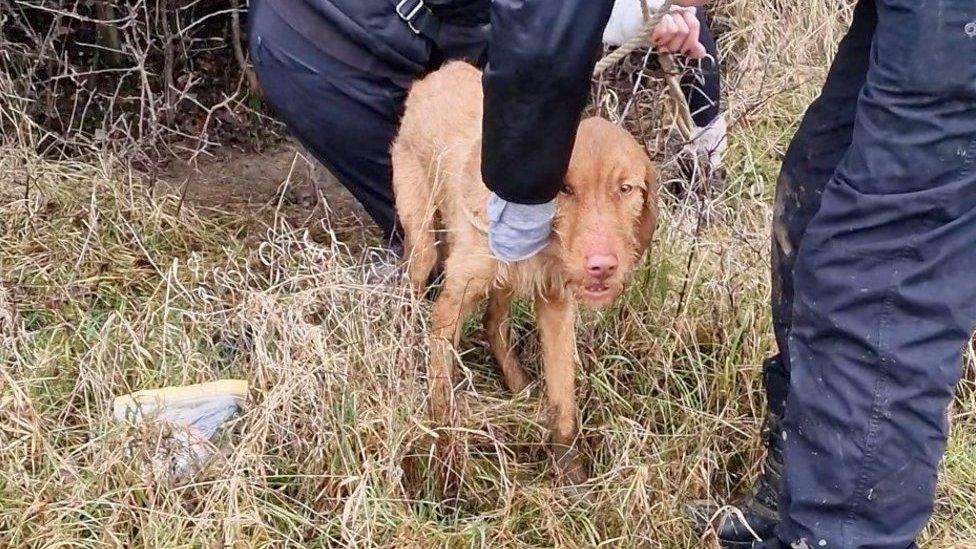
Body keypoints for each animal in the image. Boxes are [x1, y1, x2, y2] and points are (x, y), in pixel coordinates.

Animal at [392, 62, 660, 490]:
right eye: (565, 188)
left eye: (625, 188)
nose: (602, 266)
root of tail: (440, 71)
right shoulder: (450, 306)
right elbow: (441, 394)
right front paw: (445, 466)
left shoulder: (557, 306)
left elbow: (564, 400)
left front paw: (571, 477)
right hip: (422, 238)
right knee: (414, 283)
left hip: (503, 283)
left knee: (494, 323)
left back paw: (519, 388)